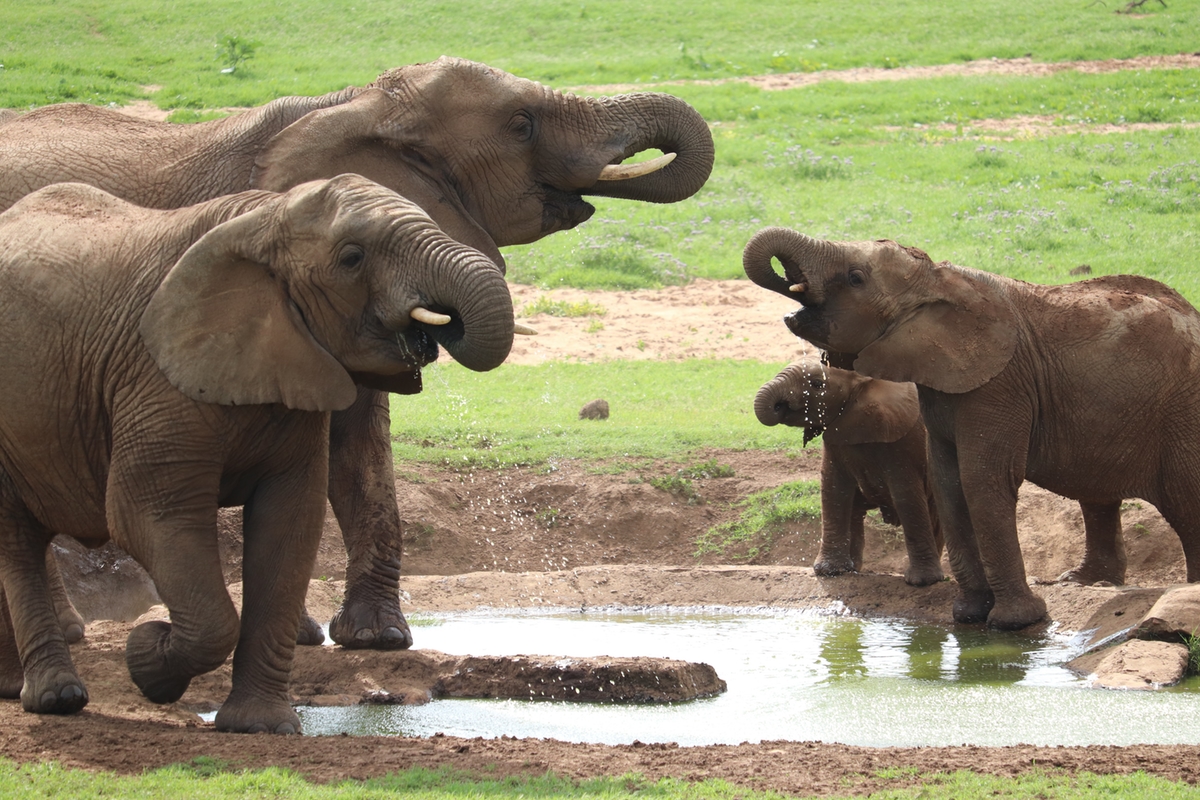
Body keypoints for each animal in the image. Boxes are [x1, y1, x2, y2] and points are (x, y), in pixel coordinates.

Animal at [0, 174, 513, 731]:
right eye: (352, 258)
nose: (439, 328)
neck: (266, 221)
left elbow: (290, 522)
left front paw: (261, 726)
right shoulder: (151, 378)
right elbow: (145, 514)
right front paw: (147, 657)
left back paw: (15, 689)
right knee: (16, 543)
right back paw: (56, 698)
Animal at [754, 360, 944, 586]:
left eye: (817, 384)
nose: (780, 405)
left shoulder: (903, 444)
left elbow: (906, 497)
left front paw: (921, 582)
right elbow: (833, 489)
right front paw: (829, 571)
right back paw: (852, 568)